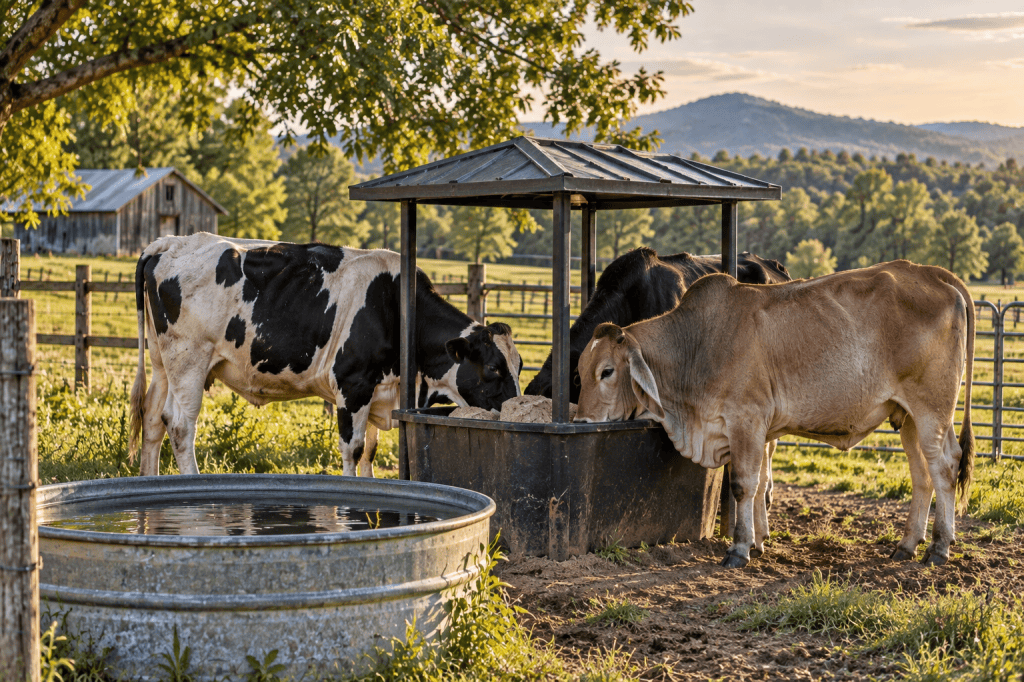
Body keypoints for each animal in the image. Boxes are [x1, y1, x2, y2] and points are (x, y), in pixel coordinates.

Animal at [128, 233, 522, 478]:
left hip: (163, 362)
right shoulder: (353, 384)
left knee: (152, 419)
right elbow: (353, 448)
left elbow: (370, 452)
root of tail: (171, 242)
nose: (516, 409)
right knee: (180, 425)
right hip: (189, 361)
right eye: (493, 367)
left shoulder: (379, 390)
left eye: (519, 366)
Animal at [574, 260, 975, 569]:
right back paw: (907, 545)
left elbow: (743, 485)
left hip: (932, 408)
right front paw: (757, 542)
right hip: (907, 416)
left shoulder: (746, 421)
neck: (698, 343)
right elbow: (760, 483)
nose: (581, 422)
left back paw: (939, 547)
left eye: (607, 371)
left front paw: (739, 549)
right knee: (922, 474)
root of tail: (935, 274)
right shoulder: (759, 431)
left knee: (945, 466)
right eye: (579, 370)